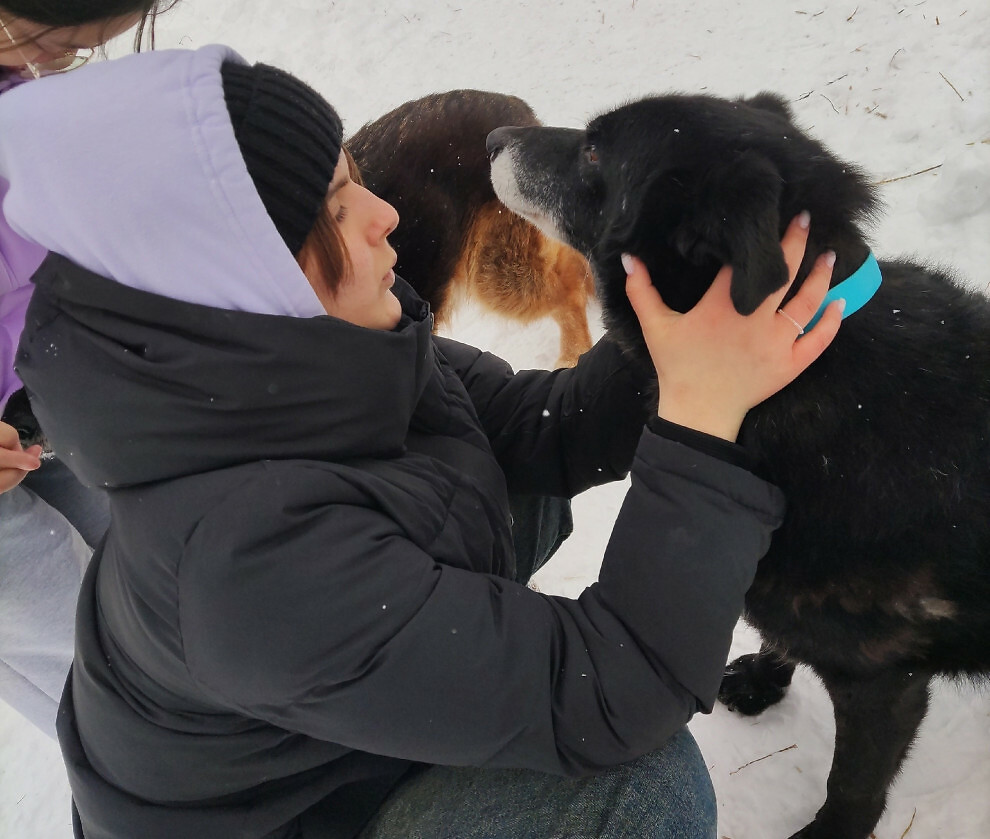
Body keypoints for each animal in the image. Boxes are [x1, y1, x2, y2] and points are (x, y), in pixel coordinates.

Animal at [488, 93, 990, 839]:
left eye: (596, 151)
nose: (493, 136)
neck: (806, 370)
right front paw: (763, 677)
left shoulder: (883, 682)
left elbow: (853, 784)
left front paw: (829, 833)